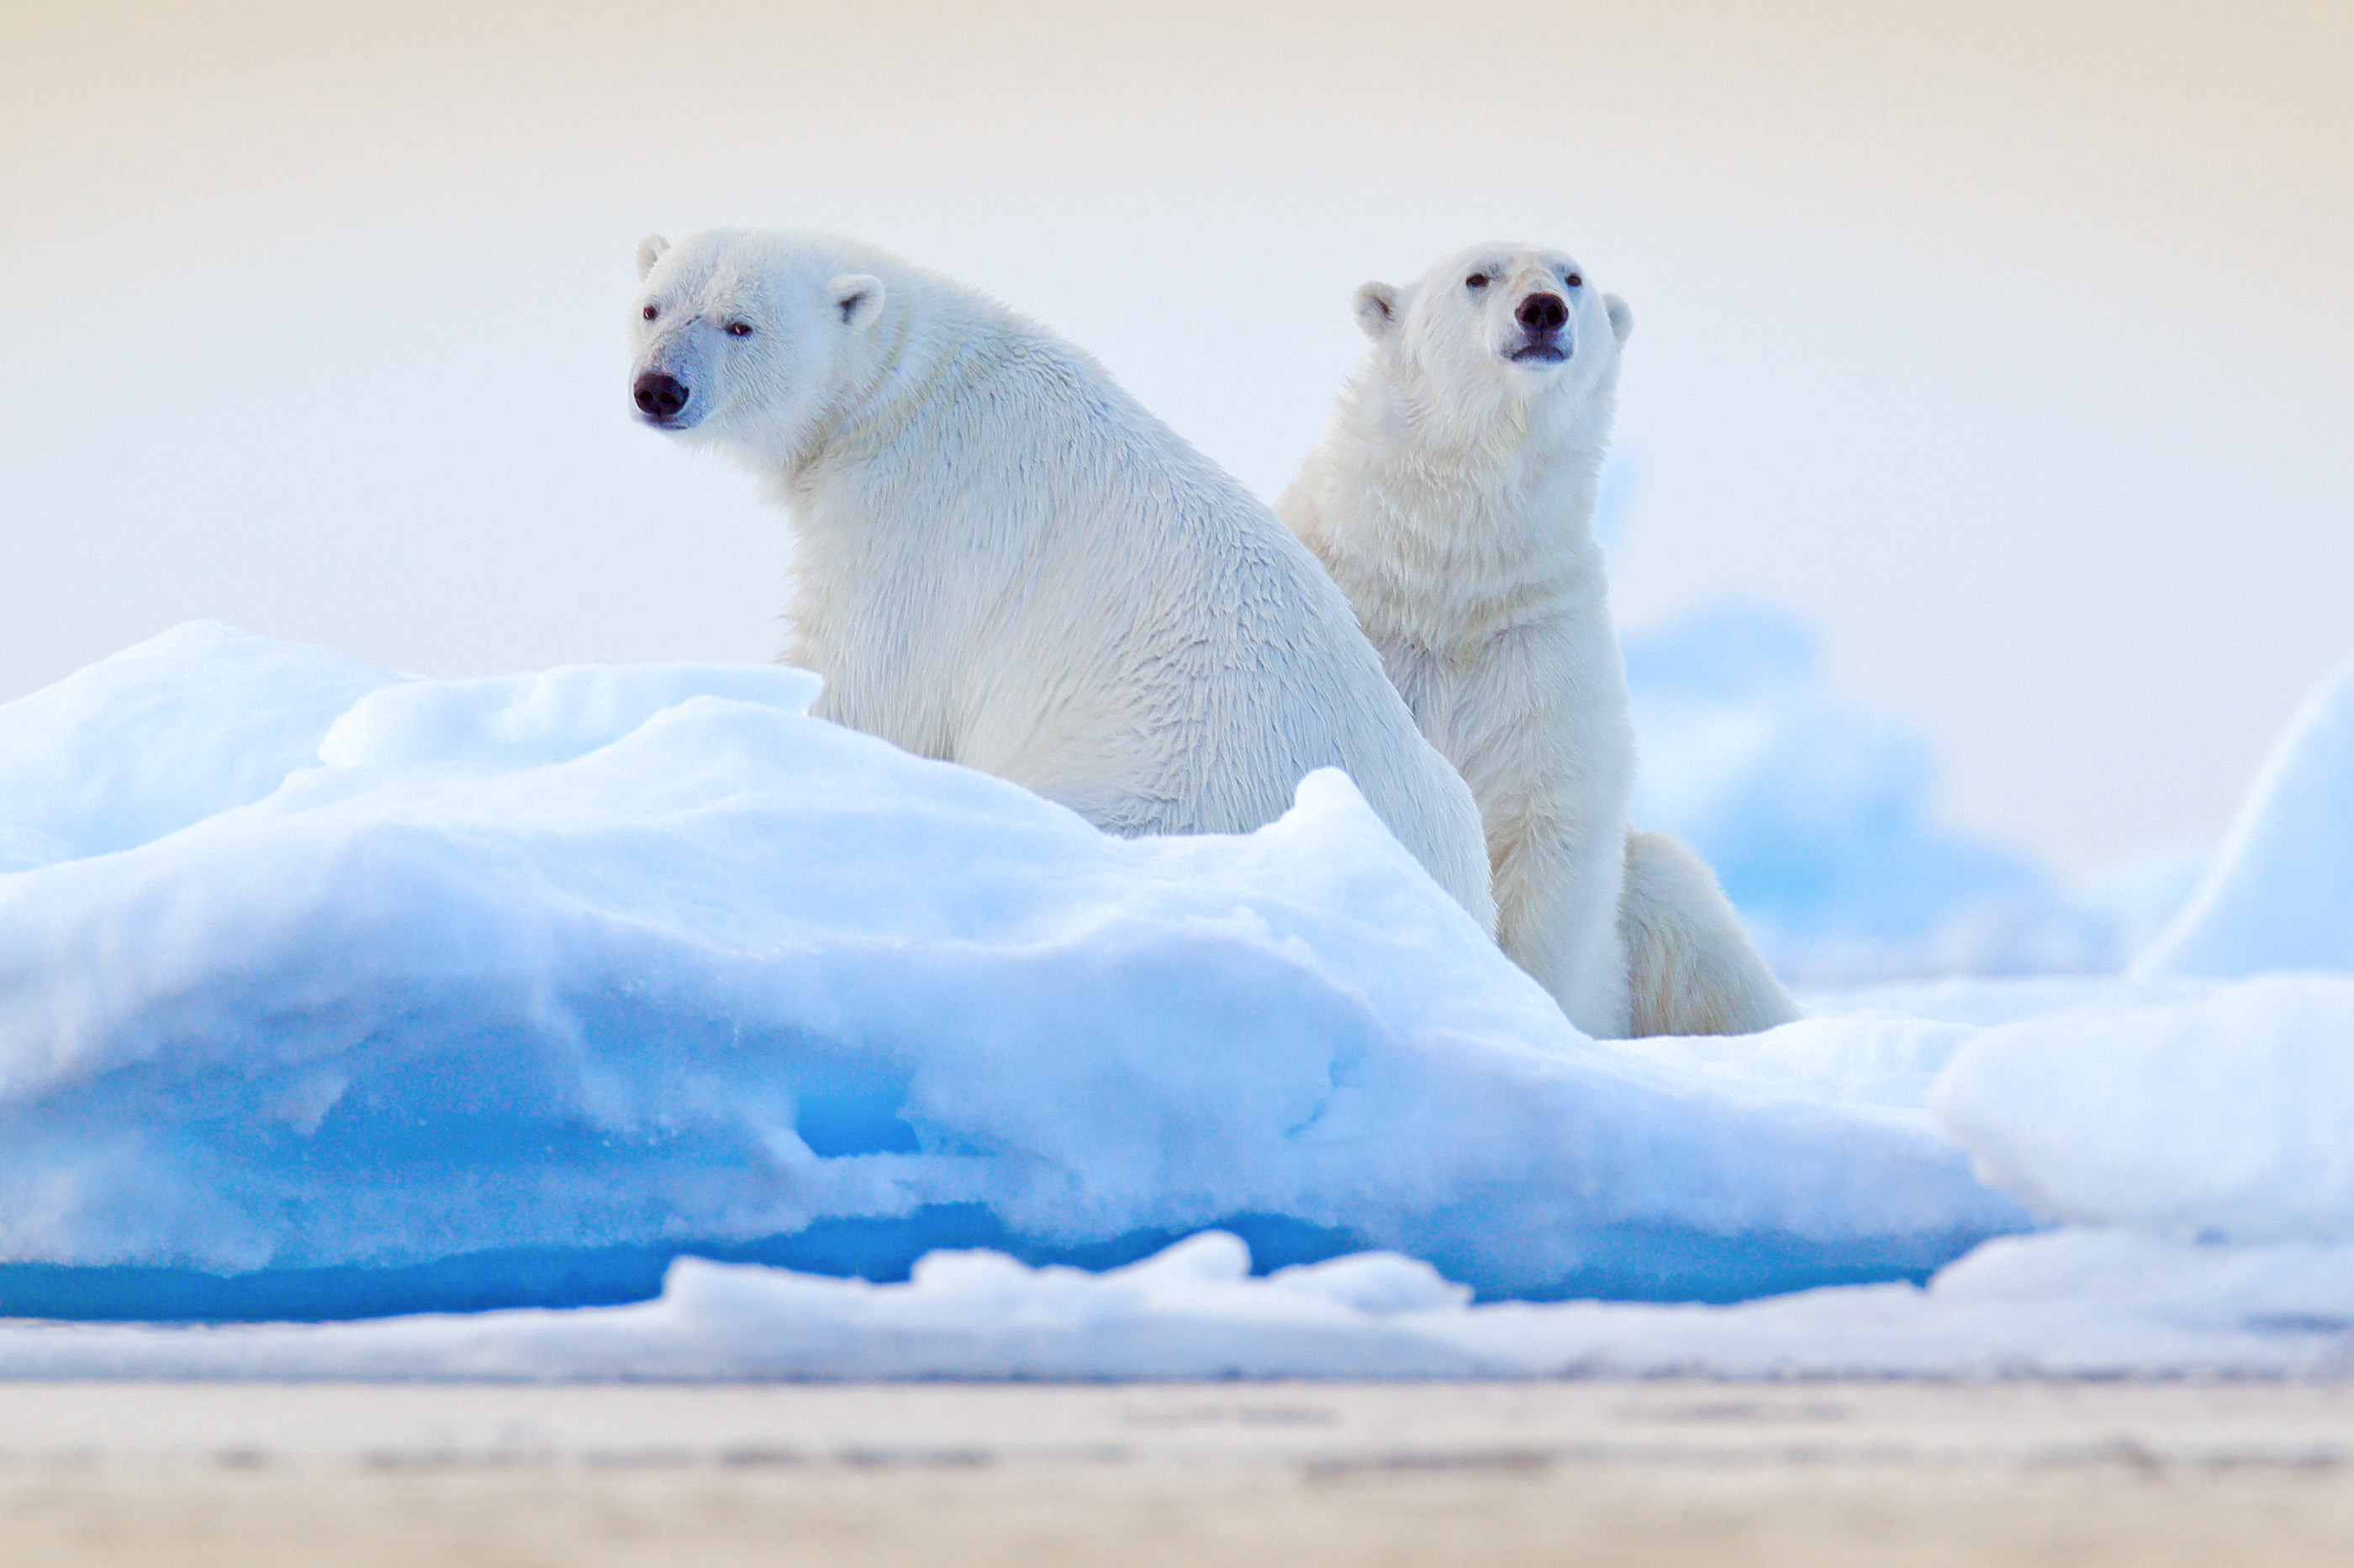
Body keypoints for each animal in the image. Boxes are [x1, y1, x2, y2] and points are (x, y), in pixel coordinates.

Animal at [627, 228, 1497, 935]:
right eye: (653, 305)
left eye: (741, 323)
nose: (659, 388)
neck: (907, 387)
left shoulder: (915, 518)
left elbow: (868, 679)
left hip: (1155, 774)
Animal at [1277, 241, 1797, 1039]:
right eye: (1476, 276)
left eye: (1573, 277)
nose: (1543, 310)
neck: (1447, 576)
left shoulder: (1539, 648)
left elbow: (1548, 822)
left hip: (1654, 897)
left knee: (1699, 935)